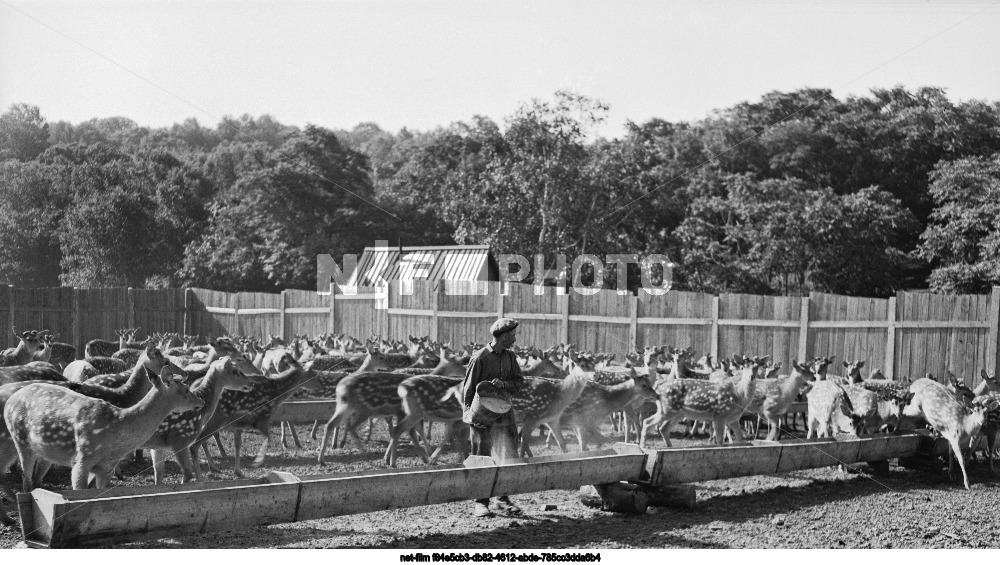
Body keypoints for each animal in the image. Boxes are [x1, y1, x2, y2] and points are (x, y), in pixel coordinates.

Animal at [2, 364, 202, 492]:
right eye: (185, 389)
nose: (200, 400)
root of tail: (10, 400)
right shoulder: (82, 459)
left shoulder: (106, 468)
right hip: (20, 439)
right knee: (25, 479)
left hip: (45, 451)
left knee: (35, 478)